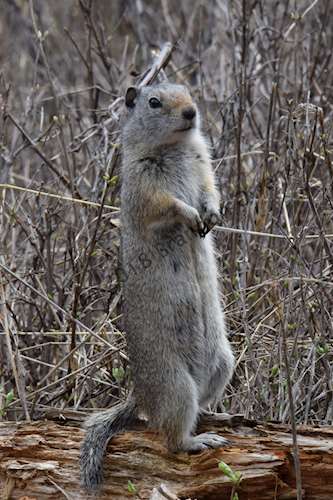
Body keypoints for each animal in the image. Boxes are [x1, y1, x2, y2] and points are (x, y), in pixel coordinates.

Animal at [80, 84, 233, 490]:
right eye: (153, 102)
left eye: (188, 91)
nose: (192, 112)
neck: (175, 146)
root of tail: (141, 396)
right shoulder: (143, 185)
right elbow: (166, 204)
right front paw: (190, 214)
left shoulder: (204, 164)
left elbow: (211, 190)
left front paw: (212, 214)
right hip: (176, 385)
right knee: (170, 437)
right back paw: (197, 440)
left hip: (223, 363)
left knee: (201, 405)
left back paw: (218, 416)